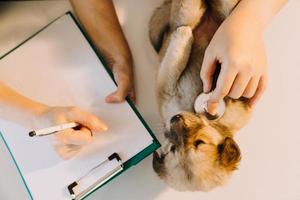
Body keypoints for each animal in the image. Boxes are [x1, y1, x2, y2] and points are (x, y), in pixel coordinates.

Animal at [149, 0, 251, 191]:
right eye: (173, 149)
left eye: (199, 142)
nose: (176, 119)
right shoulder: (166, 86)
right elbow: (177, 54)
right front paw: (185, 34)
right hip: (197, 11)